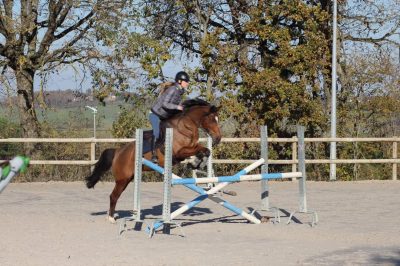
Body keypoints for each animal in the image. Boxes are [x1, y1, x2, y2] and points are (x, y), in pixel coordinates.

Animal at [85, 98, 222, 223]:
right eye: (212, 119)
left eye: (217, 119)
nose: (218, 138)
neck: (185, 126)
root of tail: (118, 152)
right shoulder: (178, 152)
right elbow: (202, 150)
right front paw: (195, 163)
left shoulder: (187, 150)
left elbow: (204, 151)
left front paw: (195, 163)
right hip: (122, 179)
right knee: (113, 196)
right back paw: (111, 218)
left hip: (128, 178)